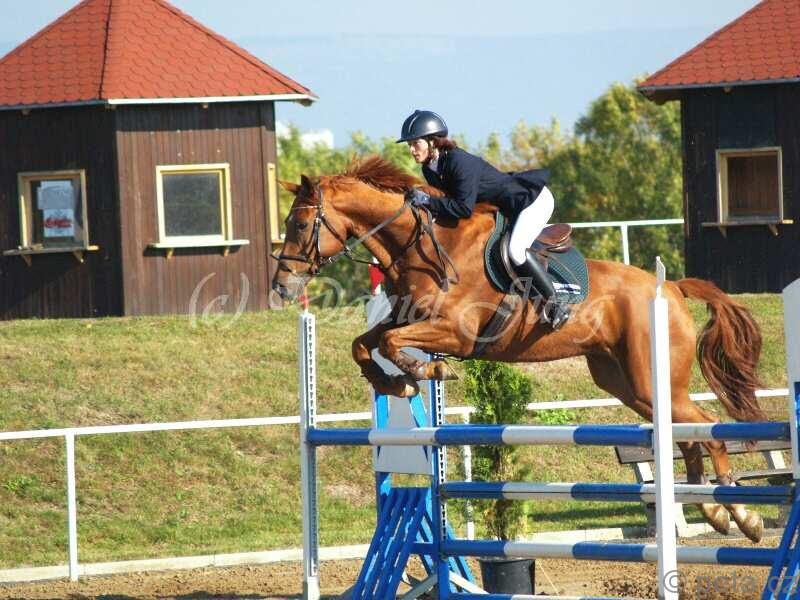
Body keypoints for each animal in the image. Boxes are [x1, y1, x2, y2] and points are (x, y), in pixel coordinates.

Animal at [272, 155, 767, 543]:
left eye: (300, 224)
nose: (282, 287)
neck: (420, 244)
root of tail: (673, 288)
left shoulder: (456, 333)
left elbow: (393, 343)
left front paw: (428, 374)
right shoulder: (408, 318)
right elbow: (366, 343)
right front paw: (397, 382)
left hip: (652, 377)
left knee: (705, 426)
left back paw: (740, 513)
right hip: (628, 384)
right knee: (687, 432)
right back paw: (712, 508)